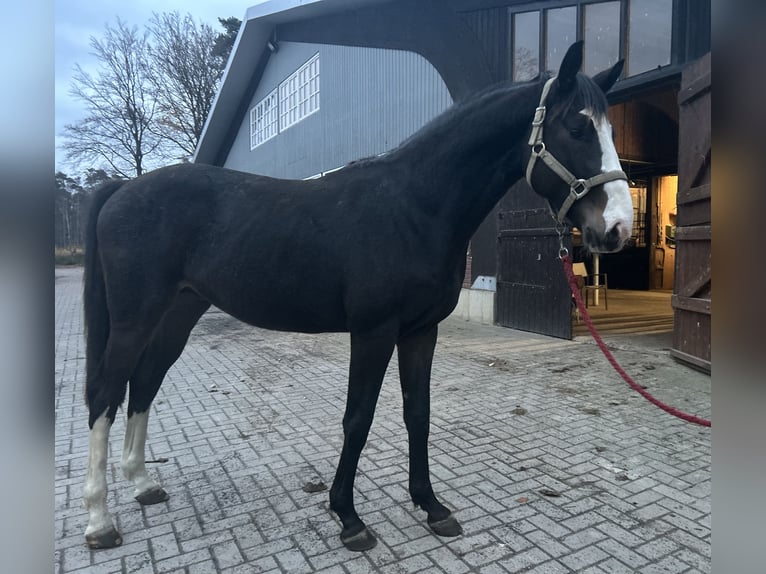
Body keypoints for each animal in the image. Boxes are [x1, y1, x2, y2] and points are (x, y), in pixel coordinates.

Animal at [81, 41, 632, 551]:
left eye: (610, 131)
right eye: (577, 128)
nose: (618, 228)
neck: (415, 206)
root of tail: (122, 189)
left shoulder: (420, 331)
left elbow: (418, 414)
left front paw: (430, 505)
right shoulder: (372, 332)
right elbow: (358, 418)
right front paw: (348, 517)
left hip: (179, 311)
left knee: (145, 381)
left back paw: (143, 484)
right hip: (134, 319)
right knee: (106, 393)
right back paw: (99, 521)